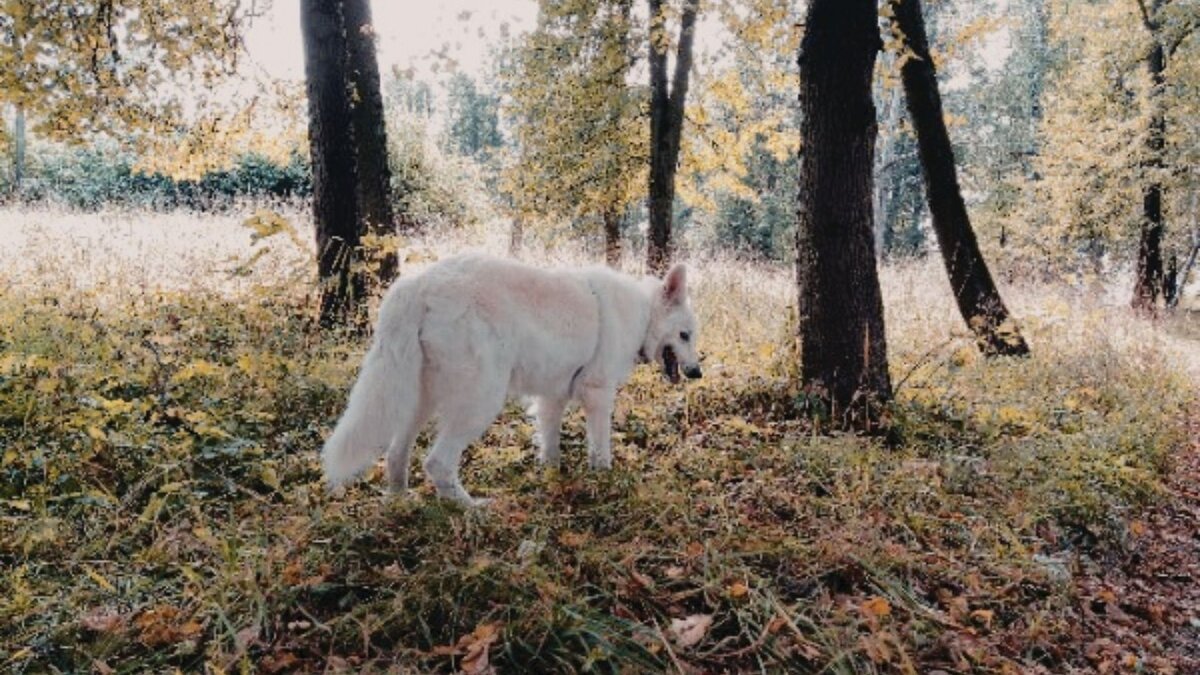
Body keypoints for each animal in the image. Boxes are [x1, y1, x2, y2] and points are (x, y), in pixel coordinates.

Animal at [319, 253, 700, 504]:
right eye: (685, 335)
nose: (697, 372)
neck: (642, 314)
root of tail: (419, 285)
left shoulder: (552, 399)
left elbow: (550, 446)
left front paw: (552, 478)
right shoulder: (598, 395)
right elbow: (600, 447)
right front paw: (604, 479)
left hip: (420, 400)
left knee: (397, 453)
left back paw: (400, 501)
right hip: (481, 402)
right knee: (437, 463)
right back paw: (471, 509)